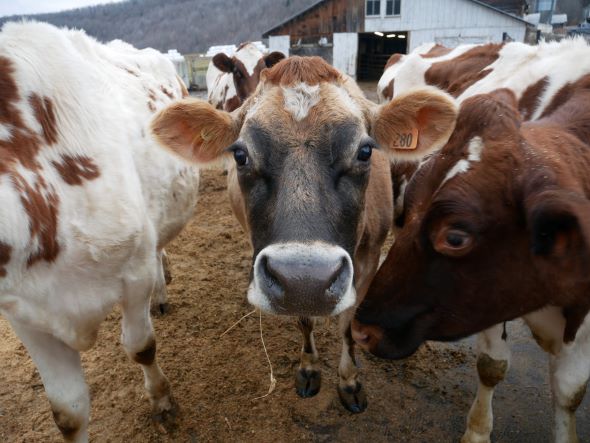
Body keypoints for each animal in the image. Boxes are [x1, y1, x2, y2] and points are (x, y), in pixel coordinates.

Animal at [150, 57, 396, 414]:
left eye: (365, 151)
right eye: (240, 155)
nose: (306, 279)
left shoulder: (369, 257)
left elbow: (347, 323)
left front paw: (350, 381)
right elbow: (304, 319)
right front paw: (308, 368)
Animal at [354, 80, 590, 443]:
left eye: (455, 238)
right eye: (411, 202)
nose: (360, 331)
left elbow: (570, 391)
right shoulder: (491, 302)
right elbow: (492, 365)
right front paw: (477, 431)